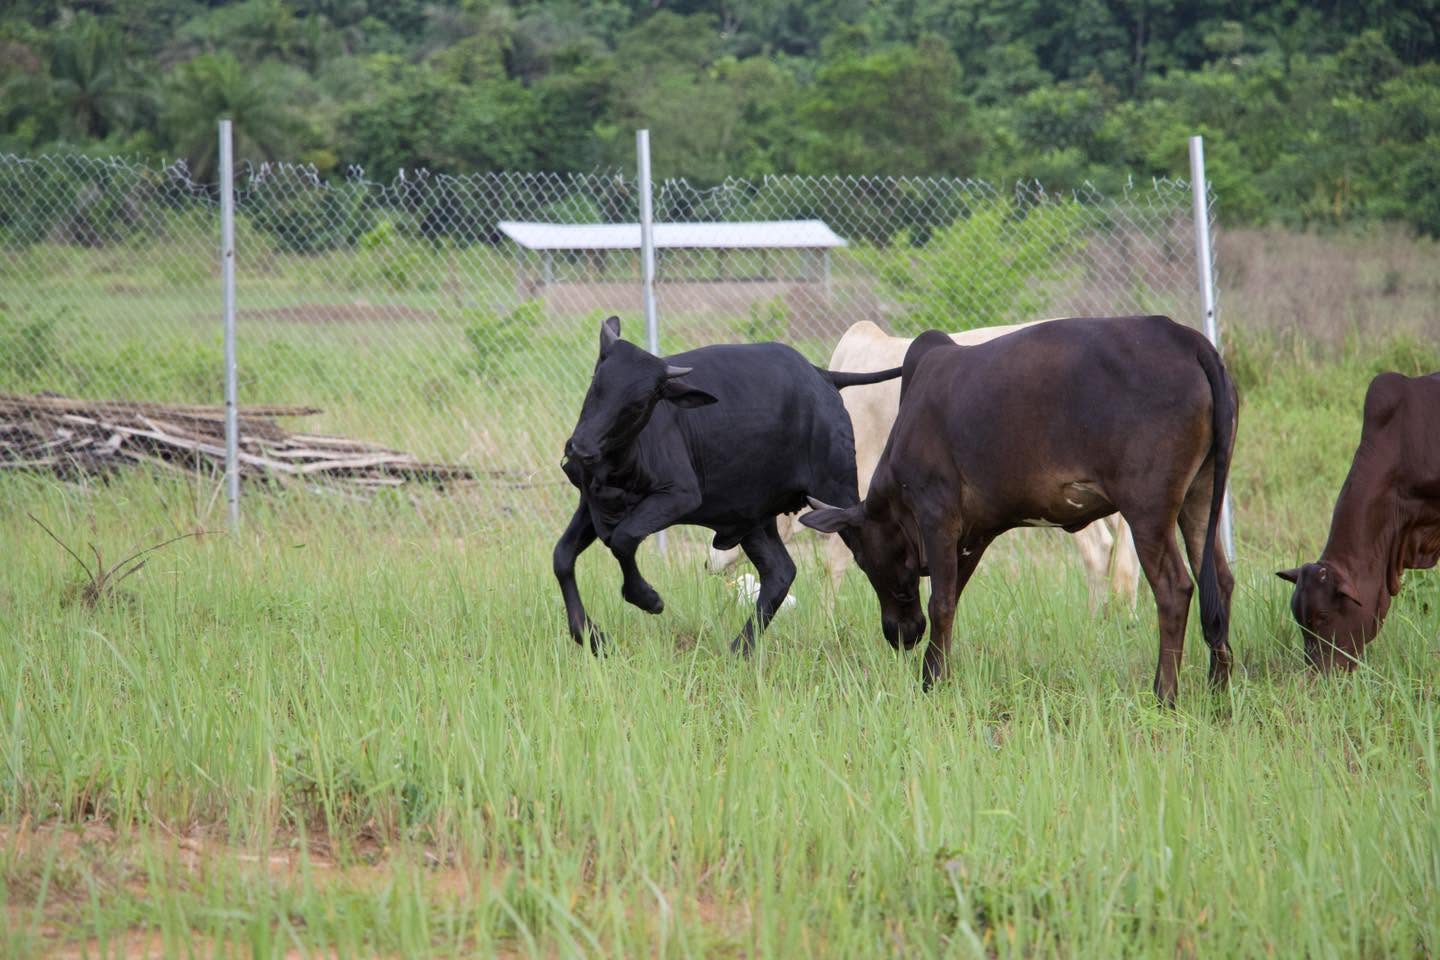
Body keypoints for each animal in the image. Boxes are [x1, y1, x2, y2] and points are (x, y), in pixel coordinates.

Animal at [554, 316, 901, 655]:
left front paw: (647, 598)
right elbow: (562, 558)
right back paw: (739, 650)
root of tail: (822, 375)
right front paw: (590, 636)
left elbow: (623, 539)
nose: (581, 449)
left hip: (836, 493)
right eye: (596, 384)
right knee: (780, 573)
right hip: (753, 517)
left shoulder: (678, 497)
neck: (620, 462)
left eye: (639, 403)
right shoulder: (592, 504)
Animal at [800, 315, 1238, 705]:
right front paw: (935, 674)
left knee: (1174, 588)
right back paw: (1219, 690)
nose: (900, 634)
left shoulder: (936, 512)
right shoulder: (974, 532)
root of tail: (1188, 341)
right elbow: (951, 597)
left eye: (862, 558)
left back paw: (1165, 695)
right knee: (1220, 580)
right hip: (1200, 495)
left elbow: (940, 603)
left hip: (1148, 509)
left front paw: (931, 683)